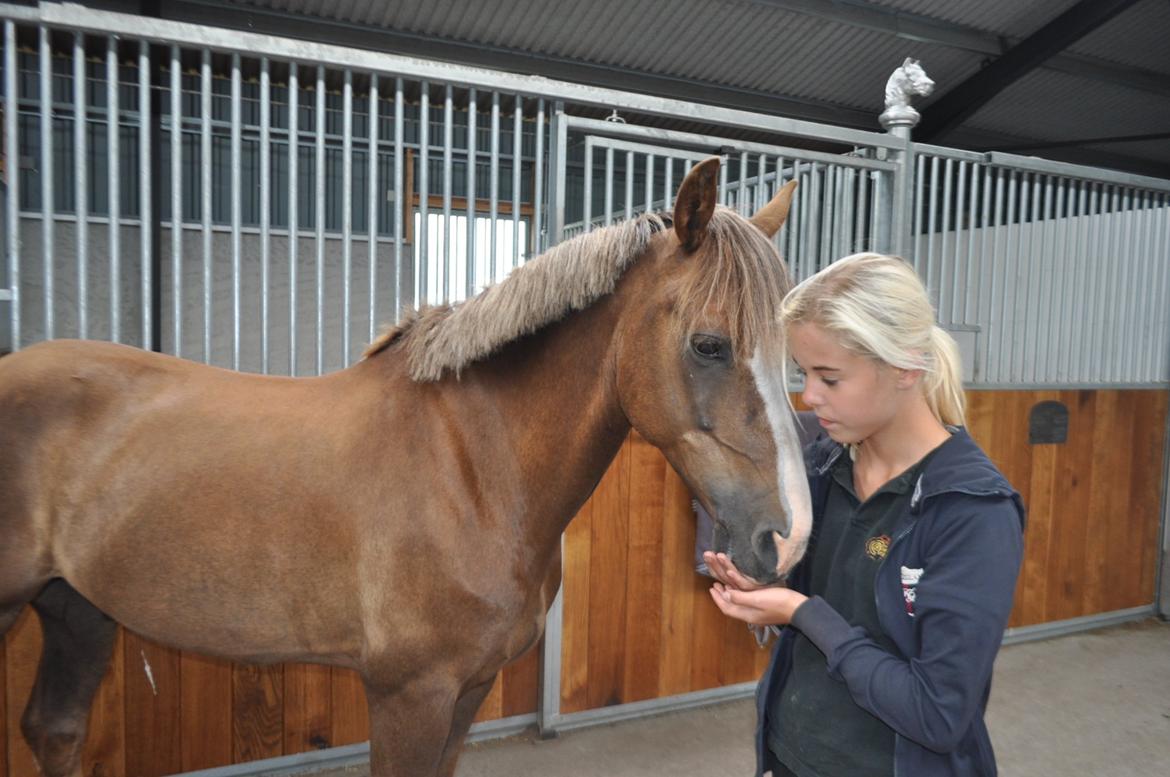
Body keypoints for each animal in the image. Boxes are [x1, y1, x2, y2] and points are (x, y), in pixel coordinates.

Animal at [0, 159, 809, 777]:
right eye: (709, 345)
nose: (788, 536)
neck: (473, 470)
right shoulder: (408, 694)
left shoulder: (468, 688)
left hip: (77, 607)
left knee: (55, 729)